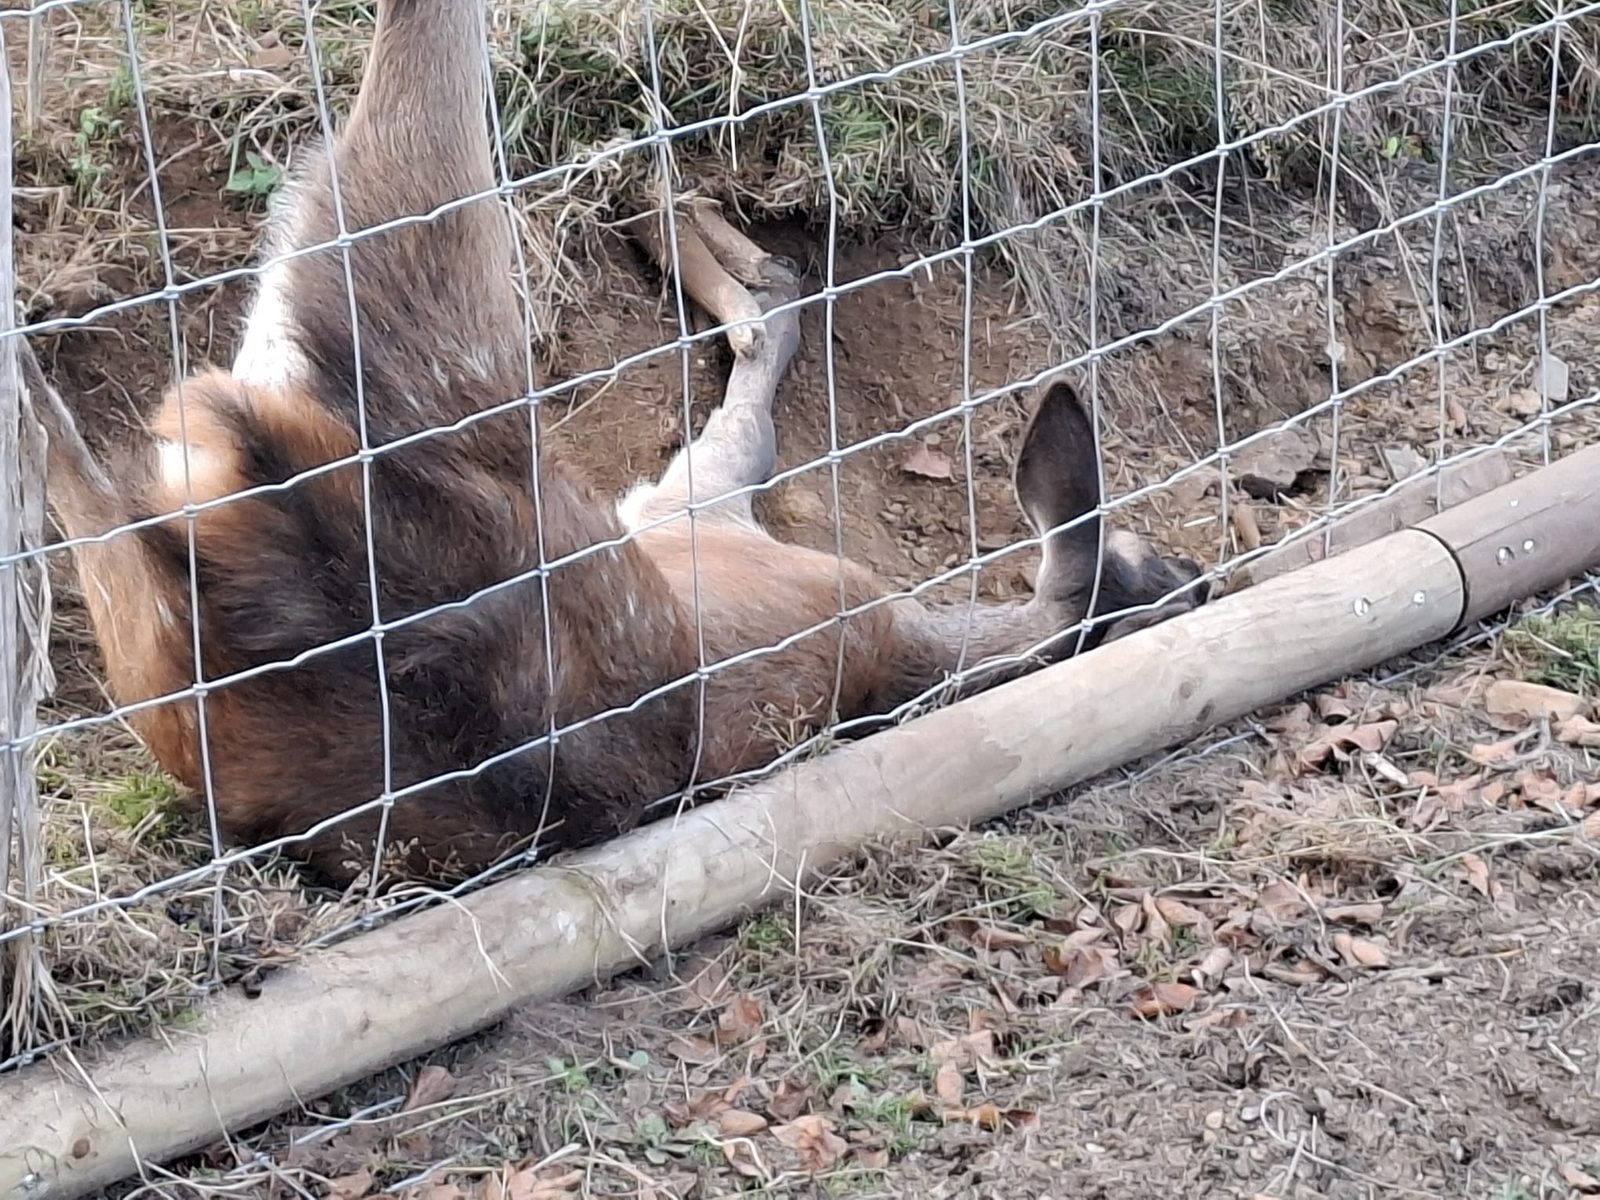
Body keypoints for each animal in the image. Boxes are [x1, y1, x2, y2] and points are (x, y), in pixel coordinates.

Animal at [18, 0, 1207, 889]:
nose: (1204, 579)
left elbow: (754, 388)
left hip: (400, 274)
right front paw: (691, 221)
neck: (918, 655)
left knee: (67, 463)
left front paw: (688, 227)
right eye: (1174, 562)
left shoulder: (689, 519)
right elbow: (763, 362)